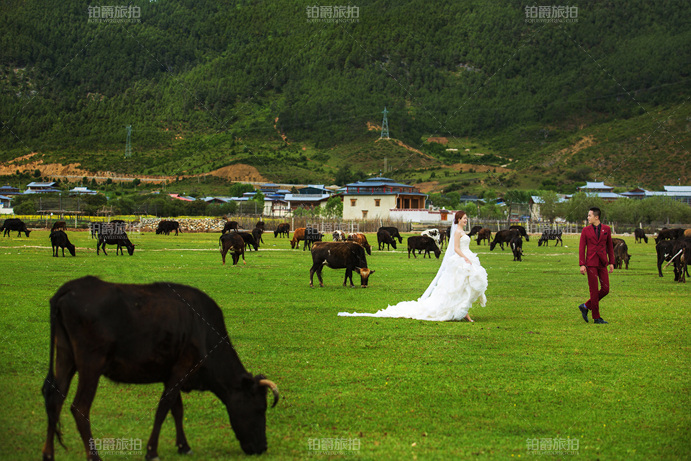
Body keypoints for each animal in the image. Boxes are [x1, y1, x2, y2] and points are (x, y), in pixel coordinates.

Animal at [41, 274, 276, 458]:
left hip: (65, 357)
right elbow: (164, 408)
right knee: (79, 408)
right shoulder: (181, 369)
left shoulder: (172, 373)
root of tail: (70, 287)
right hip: (91, 365)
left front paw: (184, 446)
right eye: (260, 408)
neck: (204, 332)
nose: (262, 447)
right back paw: (94, 456)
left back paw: (48, 454)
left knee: (55, 399)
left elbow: (177, 409)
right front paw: (152, 451)